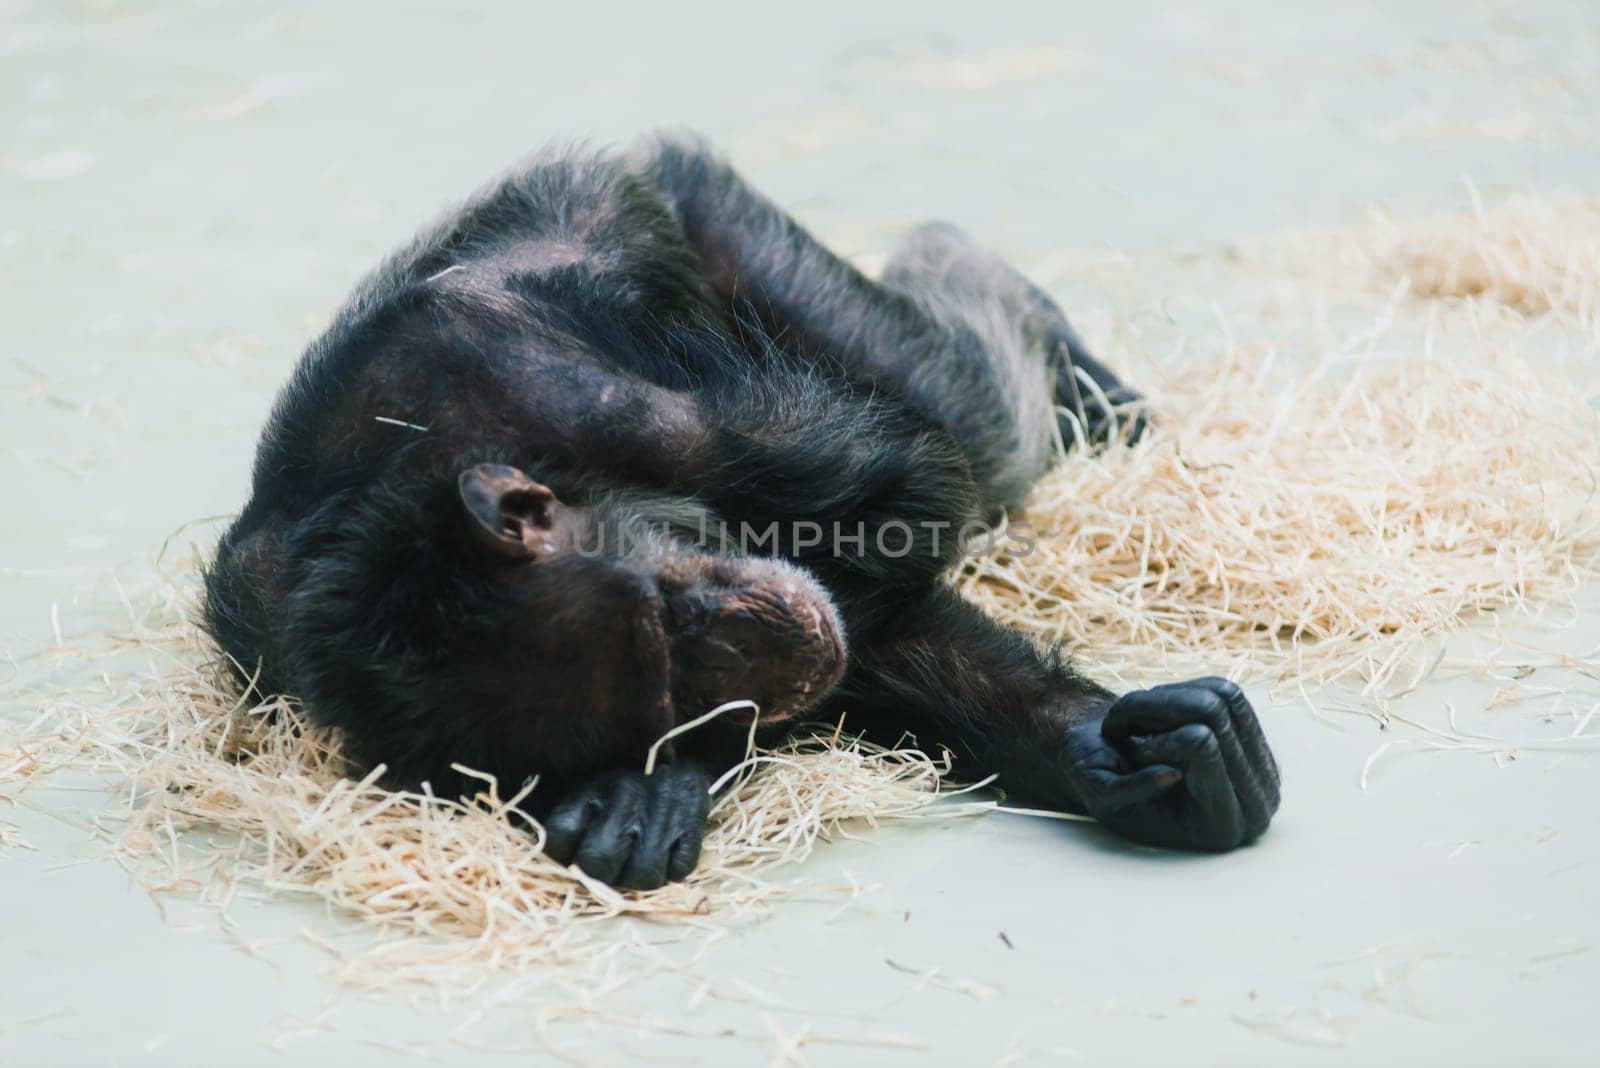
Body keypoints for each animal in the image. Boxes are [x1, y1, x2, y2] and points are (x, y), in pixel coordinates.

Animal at [203, 133, 1273, 895]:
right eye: (657, 705)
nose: (762, 665)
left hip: (737, 230)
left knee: (971, 397)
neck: (417, 456)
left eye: (667, 629)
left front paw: (670, 783)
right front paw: (1099, 750)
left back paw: (1071, 364)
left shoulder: (559, 380)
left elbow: (911, 480)